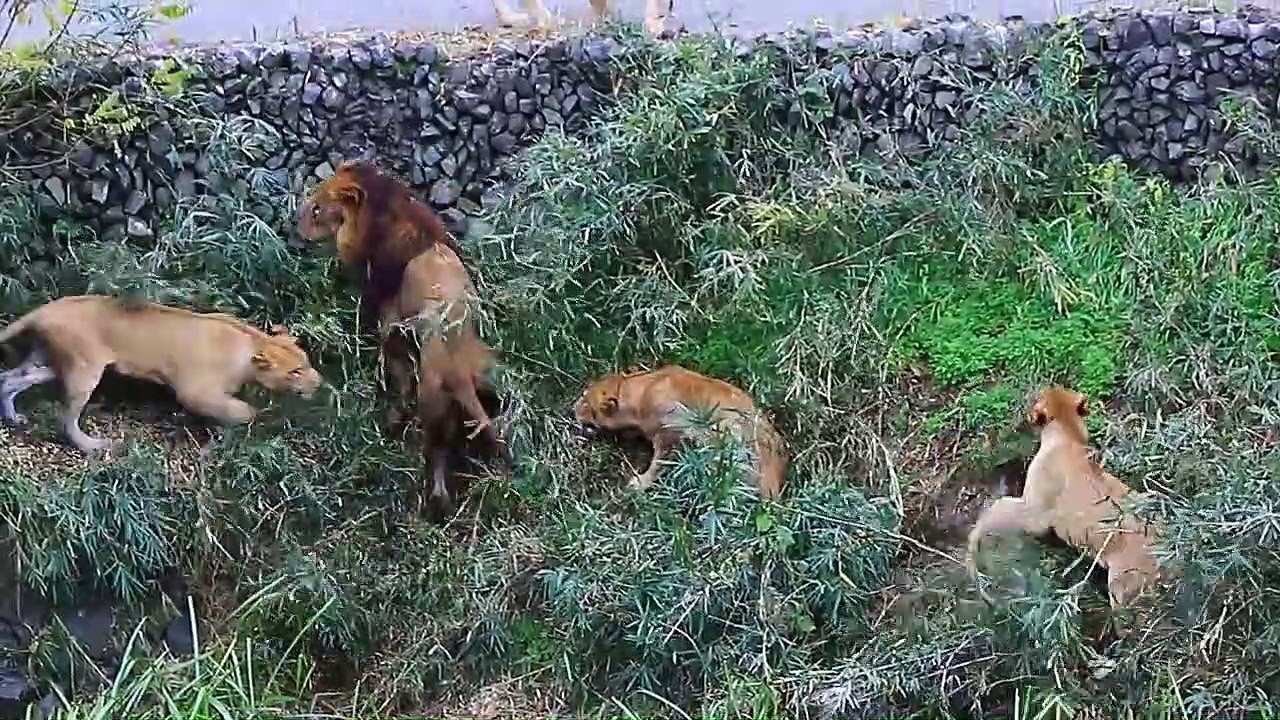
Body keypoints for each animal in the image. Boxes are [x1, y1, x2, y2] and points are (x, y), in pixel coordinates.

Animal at [0, 295, 323, 454]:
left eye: (307, 362)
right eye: (295, 372)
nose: (319, 383)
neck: (252, 345)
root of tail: (45, 309)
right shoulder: (194, 393)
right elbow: (244, 411)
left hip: (47, 362)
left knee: (9, 378)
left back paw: (14, 418)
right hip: (84, 369)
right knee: (66, 418)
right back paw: (94, 445)